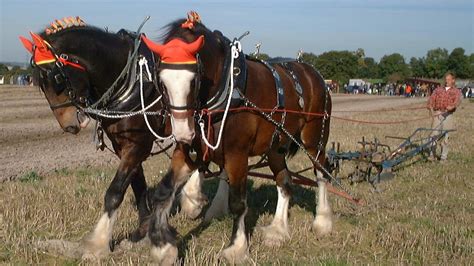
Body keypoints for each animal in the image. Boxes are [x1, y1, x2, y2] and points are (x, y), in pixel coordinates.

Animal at [18, 20, 208, 260]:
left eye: (57, 79)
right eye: (39, 83)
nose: (69, 125)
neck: (130, 80)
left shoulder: (137, 145)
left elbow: (115, 191)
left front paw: (97, 244)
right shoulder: (124, 146)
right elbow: (137, 186)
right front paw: (141, 232)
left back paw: (194, 199)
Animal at [144, 14, 334, 264]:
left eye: (194, 80)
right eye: (162, 82)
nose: (183, 132)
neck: (224, 88)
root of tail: (315, 74)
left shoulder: (237, 154)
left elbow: (238, 203)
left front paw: (237, 248)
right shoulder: (189, 150)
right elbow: (164, 190)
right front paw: (163, 247)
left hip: (313, 140)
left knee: (321, 172)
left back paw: (322, 221)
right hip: (275, 147)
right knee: (284, 181)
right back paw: (277, 230)